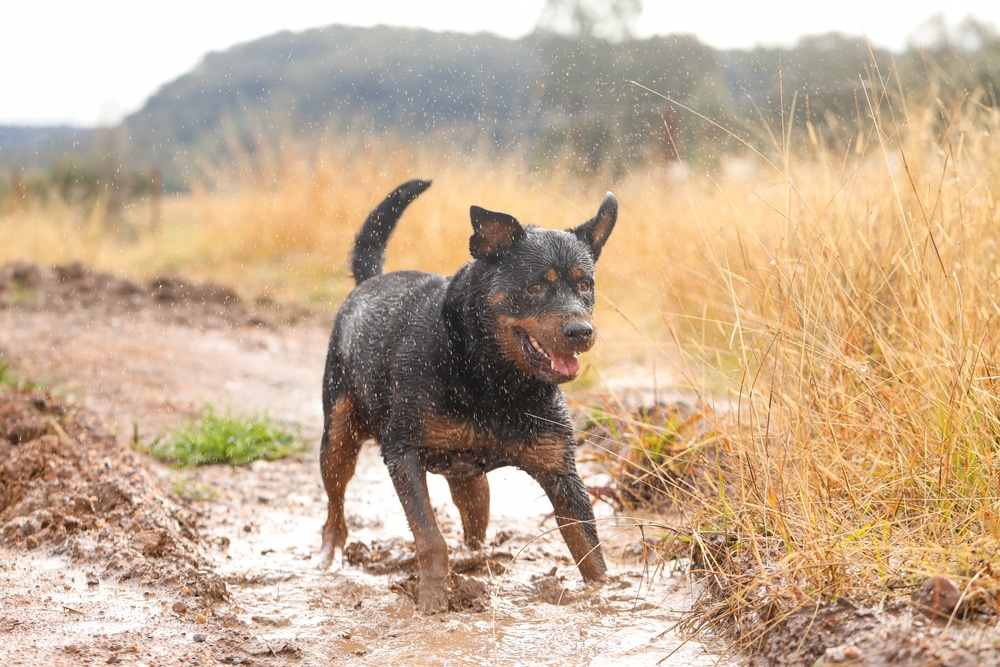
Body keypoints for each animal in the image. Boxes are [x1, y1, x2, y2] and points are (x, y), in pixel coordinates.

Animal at [320, 180, 616, 612]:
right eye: (534, 286)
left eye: (585, 285)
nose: (581, 331)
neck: (493, 381)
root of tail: (368, 282)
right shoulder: (402, 452)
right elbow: (430, 538)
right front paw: (433, 599)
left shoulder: (562, 473)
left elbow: (591, 553)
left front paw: (607, 597)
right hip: (338, 432)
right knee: (335, 504)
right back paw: (330, 554)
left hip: (469, 479)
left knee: (475, 515)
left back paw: (476, 560)